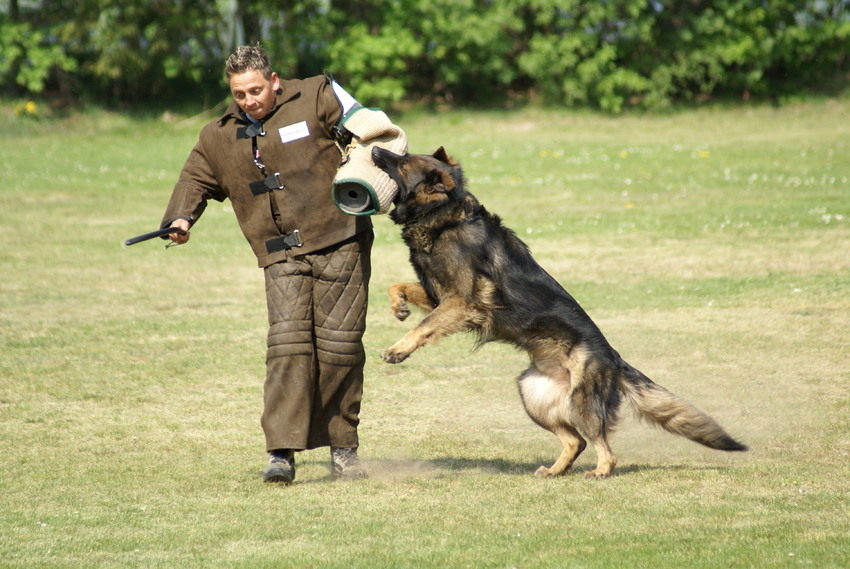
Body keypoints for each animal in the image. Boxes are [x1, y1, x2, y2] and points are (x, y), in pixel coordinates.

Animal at [370, 146, 744, 480]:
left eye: (402, 162)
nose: (373, 149)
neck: (443, 215)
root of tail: (614, 358)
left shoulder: (461, 303)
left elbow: (423, 327)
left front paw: (397, 350)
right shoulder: (441, 298)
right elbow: (397, 287)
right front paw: (398, 306)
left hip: (581, 401)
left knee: (602, 445)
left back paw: (600, 471)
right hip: (533, 393)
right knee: (576, 441)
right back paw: (555, 470)